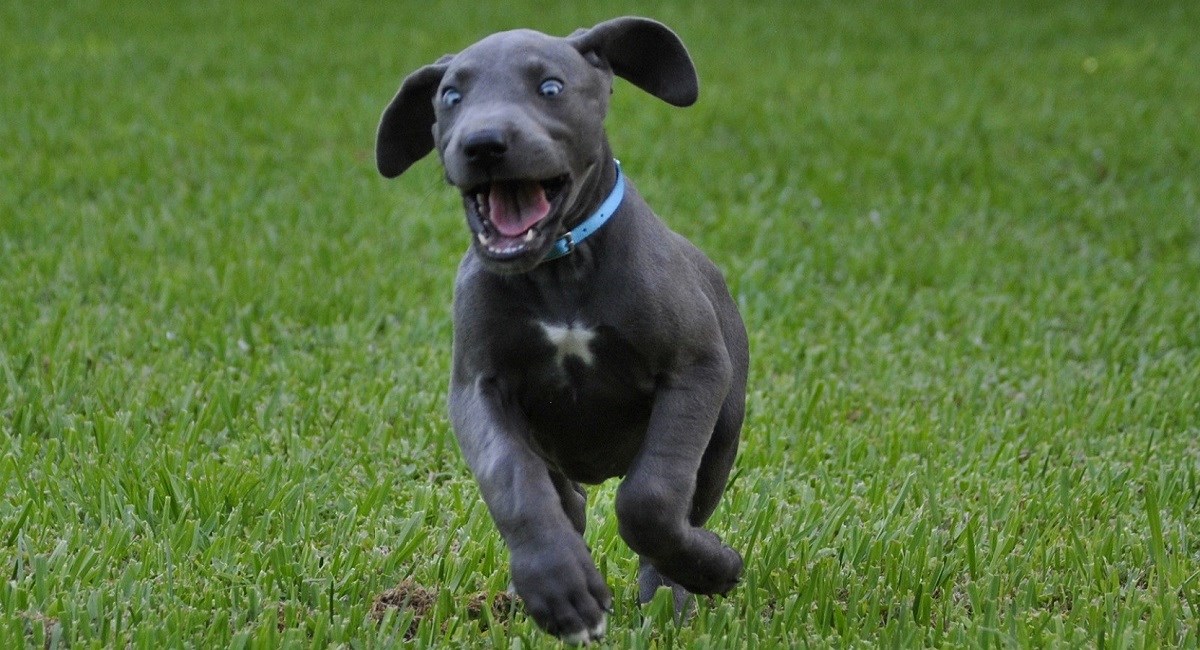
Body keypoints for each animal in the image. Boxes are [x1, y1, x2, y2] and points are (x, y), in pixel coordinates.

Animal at [376, 15, 748, 647]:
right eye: (451, 97)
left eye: (550, 87)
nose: (483, 143)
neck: (561, 266)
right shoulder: (478, 390)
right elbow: (512, 479)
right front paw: (559, 587)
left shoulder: (695, 370)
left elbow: (651, 497)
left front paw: (713, 567)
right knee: (563, 498)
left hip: (723, 430)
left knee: (686, 500)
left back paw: (672, 590)